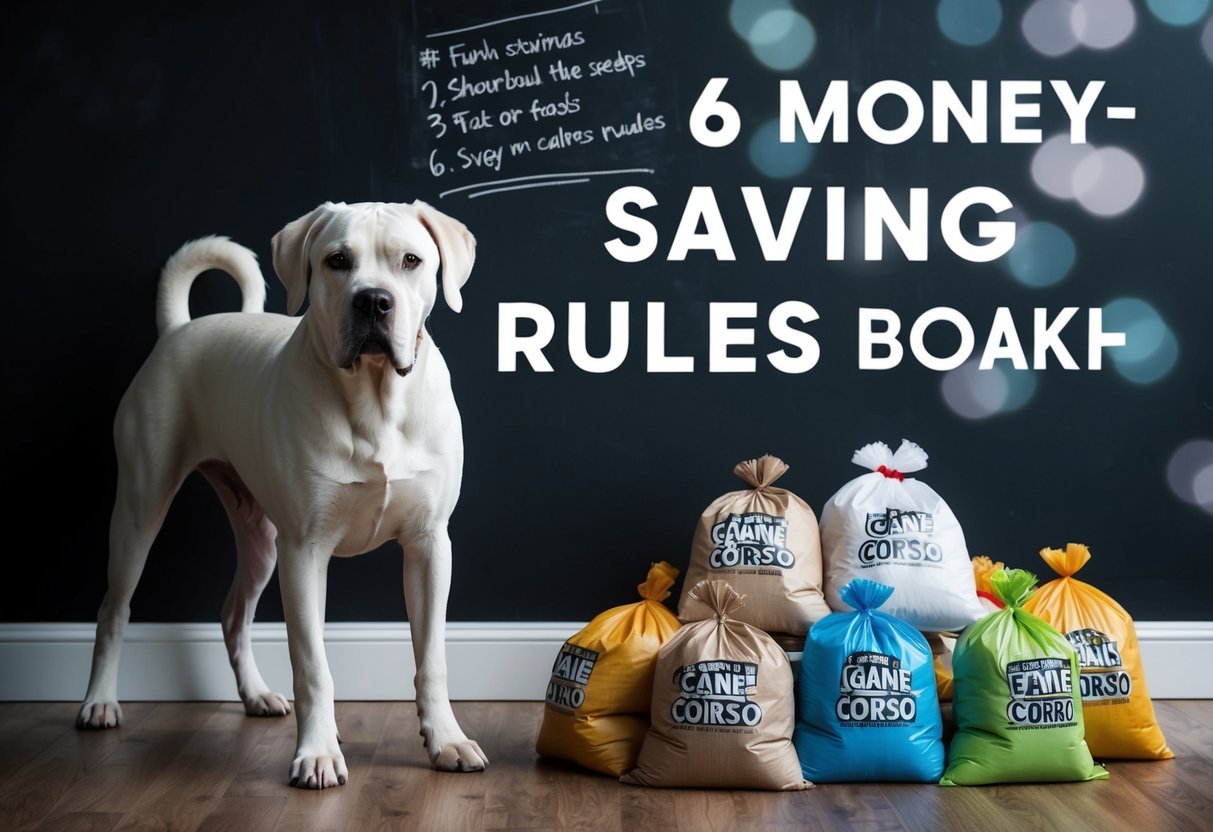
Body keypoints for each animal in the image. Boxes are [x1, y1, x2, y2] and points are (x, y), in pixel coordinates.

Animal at [75, 200, 487, 790]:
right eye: (337, 260)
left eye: (411, 260)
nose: (373, 300)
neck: (375, 398)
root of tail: (179, 331)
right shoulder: (305, 553)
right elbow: (312, 664)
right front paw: (317, 753)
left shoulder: (429, 548)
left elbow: (431, 658)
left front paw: (447, 741)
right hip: (139, 510)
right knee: (115, 608)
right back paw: (99, 703)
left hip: (260, 542)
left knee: (233, 615)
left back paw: (256, 695)